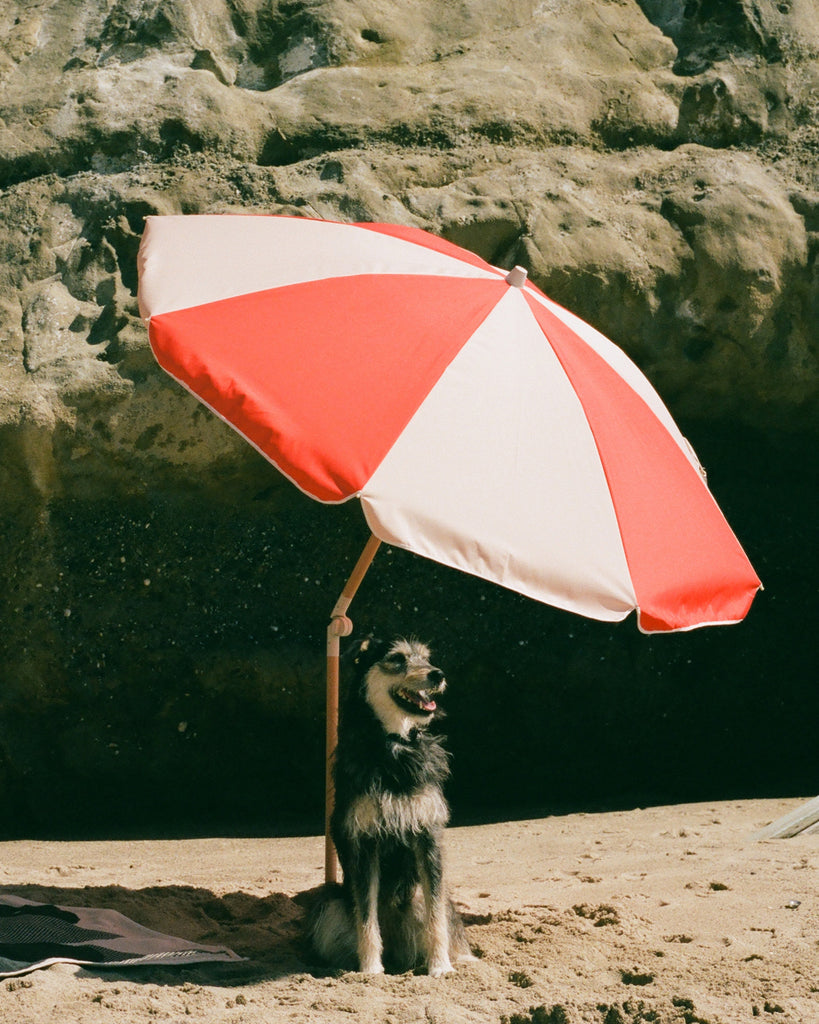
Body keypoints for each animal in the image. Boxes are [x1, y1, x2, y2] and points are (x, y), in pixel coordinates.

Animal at [309, 630, 472, 974]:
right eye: (396, 659)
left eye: (426, 658)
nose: (438, 675)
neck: (394, 745)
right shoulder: (365, 842)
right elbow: (367, 917)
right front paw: (371, 971)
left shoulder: (427, 836)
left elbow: (435, 917)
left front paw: (441, 967)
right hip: (329, 903)